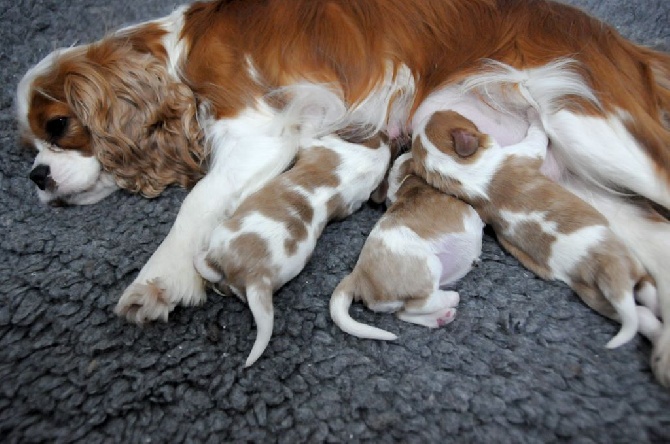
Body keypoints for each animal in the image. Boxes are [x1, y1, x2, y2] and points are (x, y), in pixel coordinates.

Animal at [193, 134, 394, 366]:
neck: (367, 158)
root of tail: (258, 277)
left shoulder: (317, 144)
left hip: (221, 236)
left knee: (209, 268)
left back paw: (199, 261)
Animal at [330, 152, 484, 340]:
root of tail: (357, 276)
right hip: (430, 265)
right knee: (419, 305)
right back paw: (450, 298)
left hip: (399, 301)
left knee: (403, 313)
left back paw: (441, 318)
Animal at [412, 108, 664, 350]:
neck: (460, 172)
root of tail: (601, 270)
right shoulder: (524, 153)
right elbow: (537, 136)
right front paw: (535, 114)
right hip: (626, 267)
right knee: (645, 303)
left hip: (596, 296)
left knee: (640, 308)